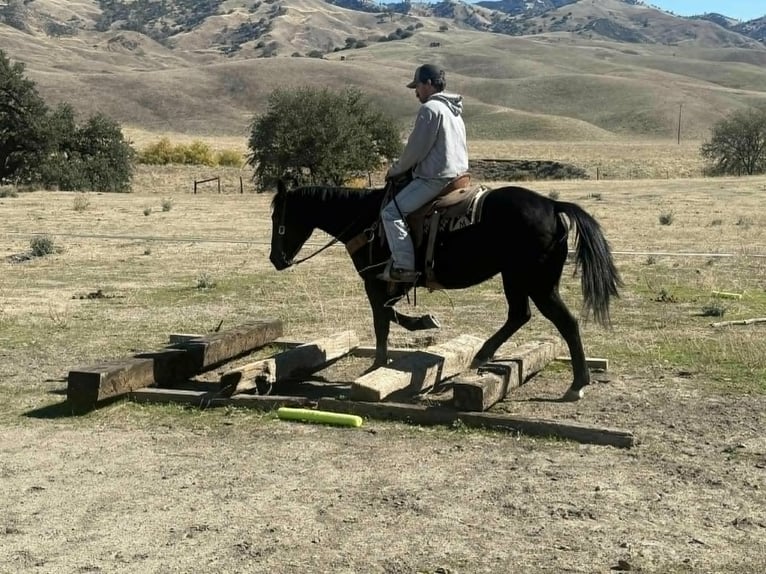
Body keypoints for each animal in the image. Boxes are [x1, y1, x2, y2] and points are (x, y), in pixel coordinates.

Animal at [269, 180, 622, 401]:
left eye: (276, 216)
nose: (275, 259)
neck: (365, 220)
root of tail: (551, 204)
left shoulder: (375, 281)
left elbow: (382, 320)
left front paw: (378, 363)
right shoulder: (388, 284)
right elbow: (389, 315)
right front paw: (422, 322)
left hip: (535, 282)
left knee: (564, 322)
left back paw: (577, 385)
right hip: (519, 279)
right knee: (519, 315)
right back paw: (484, 354)